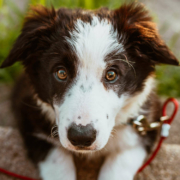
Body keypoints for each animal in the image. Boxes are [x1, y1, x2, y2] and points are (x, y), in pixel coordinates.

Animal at [0, 1, 179, 180]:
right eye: (61, 73)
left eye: (111, 74)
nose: (81, 137)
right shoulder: (30, 118)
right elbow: (57, 163)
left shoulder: (144, 126)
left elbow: (119, 166)